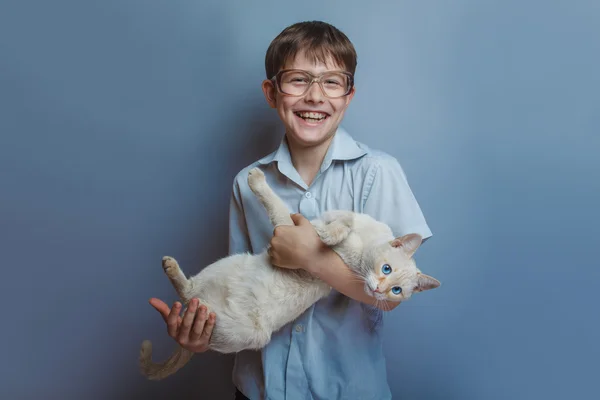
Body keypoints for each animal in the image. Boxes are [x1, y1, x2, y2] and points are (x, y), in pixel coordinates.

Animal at [141, 167, 440, 380]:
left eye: (396, 291)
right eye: (386, 269)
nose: (379, 290)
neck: (361, 249)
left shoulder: (296, 229)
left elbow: (278, 206)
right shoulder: (333, 218)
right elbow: (343, 221)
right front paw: (330, 235)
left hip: (235, 328)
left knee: (189, 300)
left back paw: (183, 302)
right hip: (227, 264)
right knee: (189, 291)